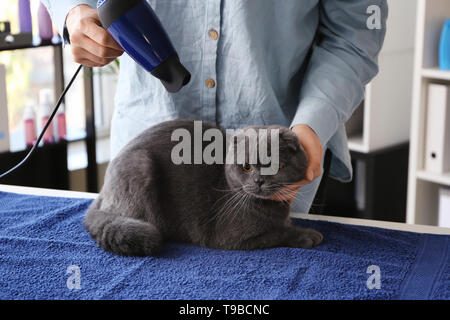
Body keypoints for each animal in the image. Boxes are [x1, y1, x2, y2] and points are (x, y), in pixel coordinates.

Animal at [84, 119, 324, 256]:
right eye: (246, 167)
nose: (259, 181)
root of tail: (103, 192)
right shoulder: (232, 238)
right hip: (140, 168)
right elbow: (277, 233)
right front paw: (308, 235)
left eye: (276, 166)